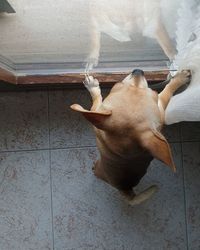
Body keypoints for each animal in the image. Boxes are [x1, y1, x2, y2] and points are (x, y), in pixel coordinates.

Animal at [70, 69, 191, 205]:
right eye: (117, 85)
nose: (138, 71)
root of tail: (125, 189)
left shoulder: (98, 113)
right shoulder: (160, 105)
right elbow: (167, 90)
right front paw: (180, 78)